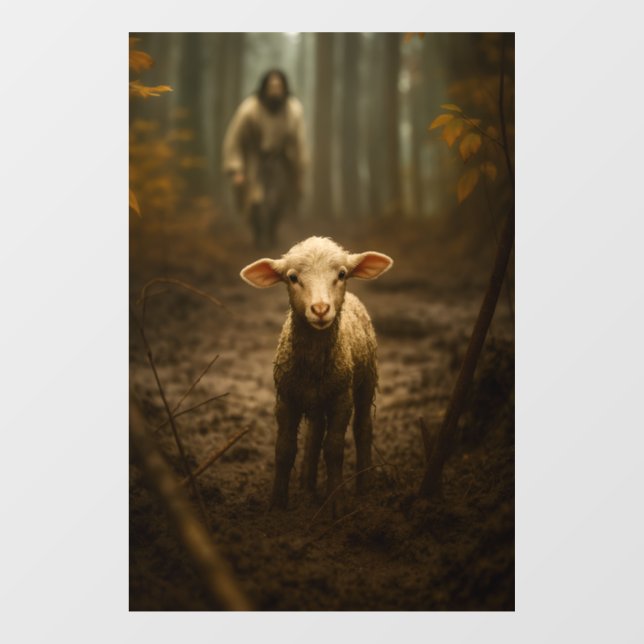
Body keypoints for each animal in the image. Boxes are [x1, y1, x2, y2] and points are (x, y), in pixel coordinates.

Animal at [240, 236, 393, 515]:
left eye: (342, 274)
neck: (312, 363)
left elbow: (333, 449)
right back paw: (307, 484)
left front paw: (336, 503)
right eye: (292, 277)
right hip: (317, 399)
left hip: (366, 379)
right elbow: (284, 449)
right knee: (314, 433)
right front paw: (278, 503)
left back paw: (364, 483)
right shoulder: (286, 398)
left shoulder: (341, 398)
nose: (321, 309)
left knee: (363, 427)